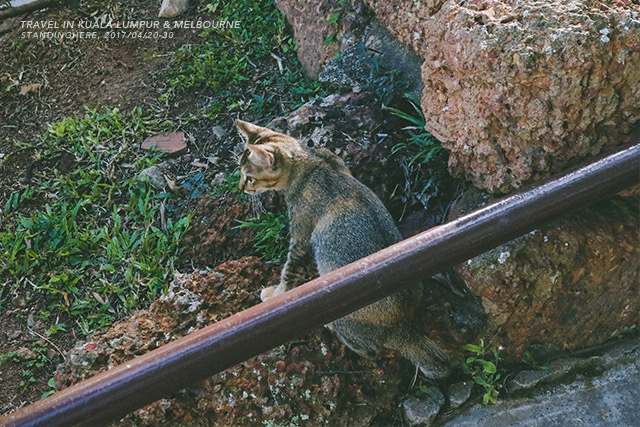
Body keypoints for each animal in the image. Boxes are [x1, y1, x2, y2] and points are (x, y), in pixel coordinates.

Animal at [235, 119, 450, 382]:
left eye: (249, 178)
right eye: (241, 175)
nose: (241, 187)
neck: (311, 163)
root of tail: (405, 327)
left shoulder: (301, 237)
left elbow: (289, 273)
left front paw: (275, 296)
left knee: (371, 351)